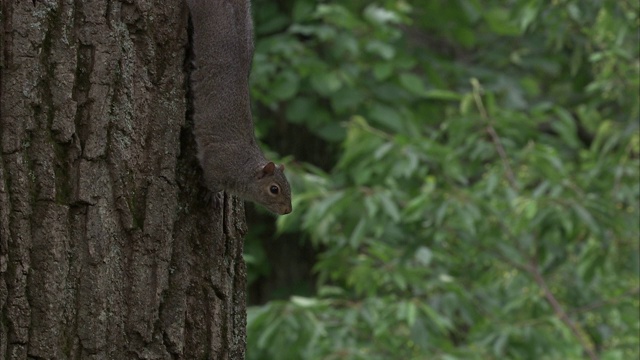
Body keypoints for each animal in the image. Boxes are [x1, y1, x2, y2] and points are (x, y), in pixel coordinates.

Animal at [186, 0, 292, 214]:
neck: (243, 166)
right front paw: (212, 194)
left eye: (289, 187)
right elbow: (210, 180)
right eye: (274, 189)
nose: (288, 210)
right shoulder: (216, 164)